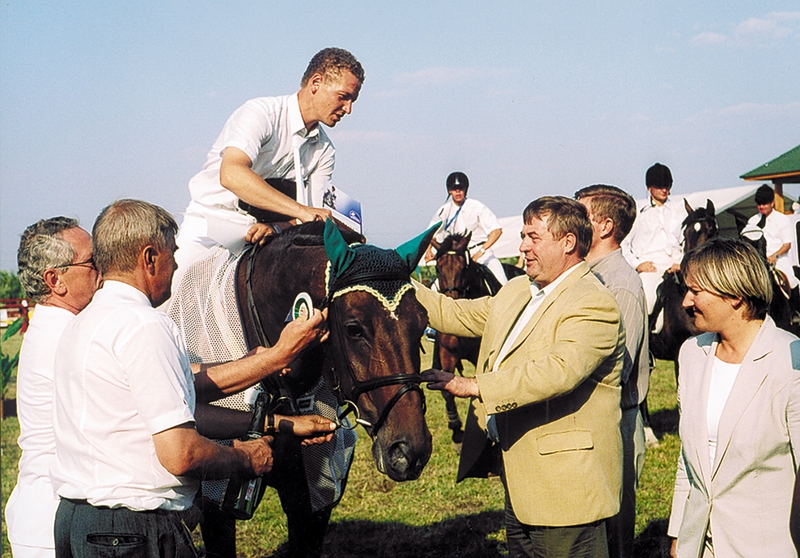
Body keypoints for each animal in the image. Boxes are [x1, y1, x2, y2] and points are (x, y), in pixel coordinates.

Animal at [432, 232, 524, 442]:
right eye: (437, 268)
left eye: (464, 268)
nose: (452, 300)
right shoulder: (447, 353)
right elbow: (447, 389)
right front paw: (456, 428)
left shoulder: (479, 357)